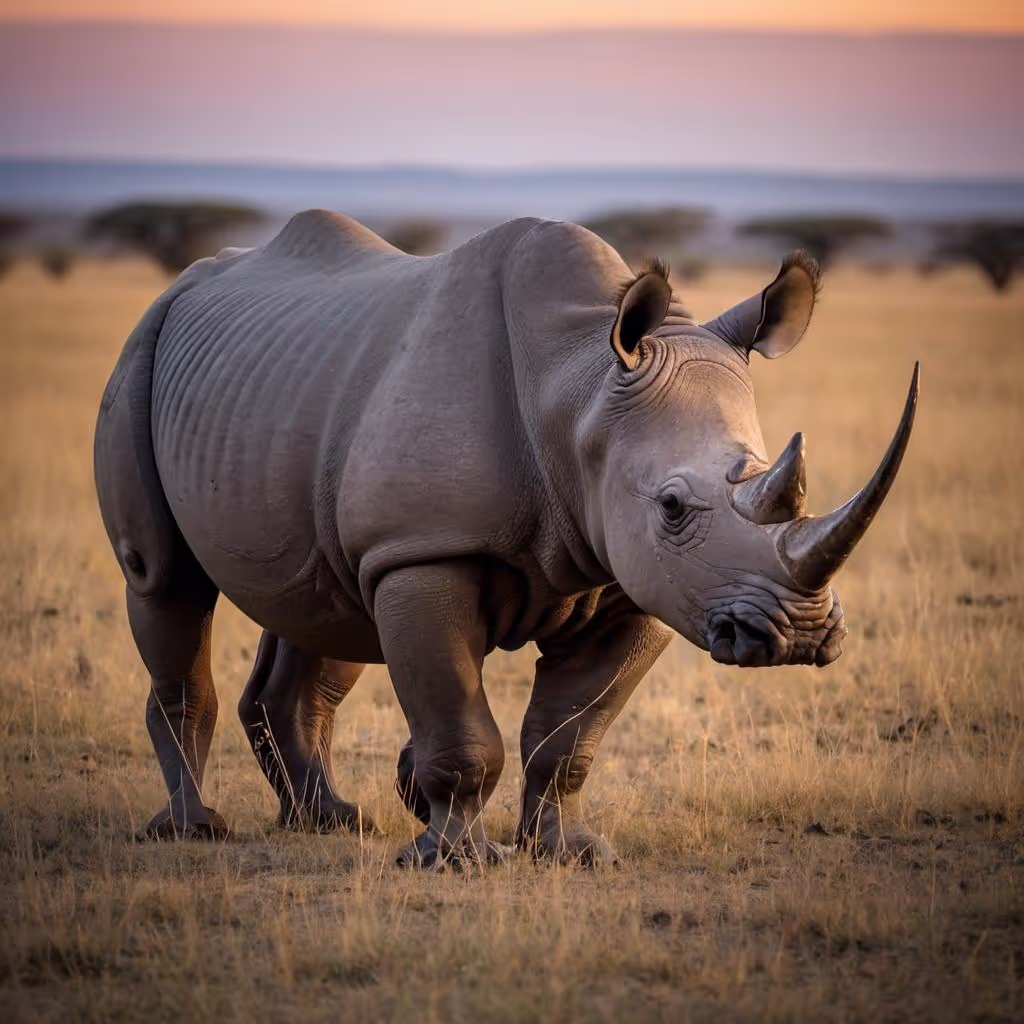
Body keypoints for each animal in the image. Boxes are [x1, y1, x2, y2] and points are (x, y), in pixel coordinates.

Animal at [94, 211, 918, 867]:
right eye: (673, 506)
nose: (798, 635)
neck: (581, 386)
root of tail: (189, 280)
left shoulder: (638, 580)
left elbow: (569, 739)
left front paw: (570, 855)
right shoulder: (425, 550)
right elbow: (463, 732)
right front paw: (454, 860)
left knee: (327, 609)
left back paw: (328, 822)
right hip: (141, 351)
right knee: (162, 581)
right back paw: (193, 830)